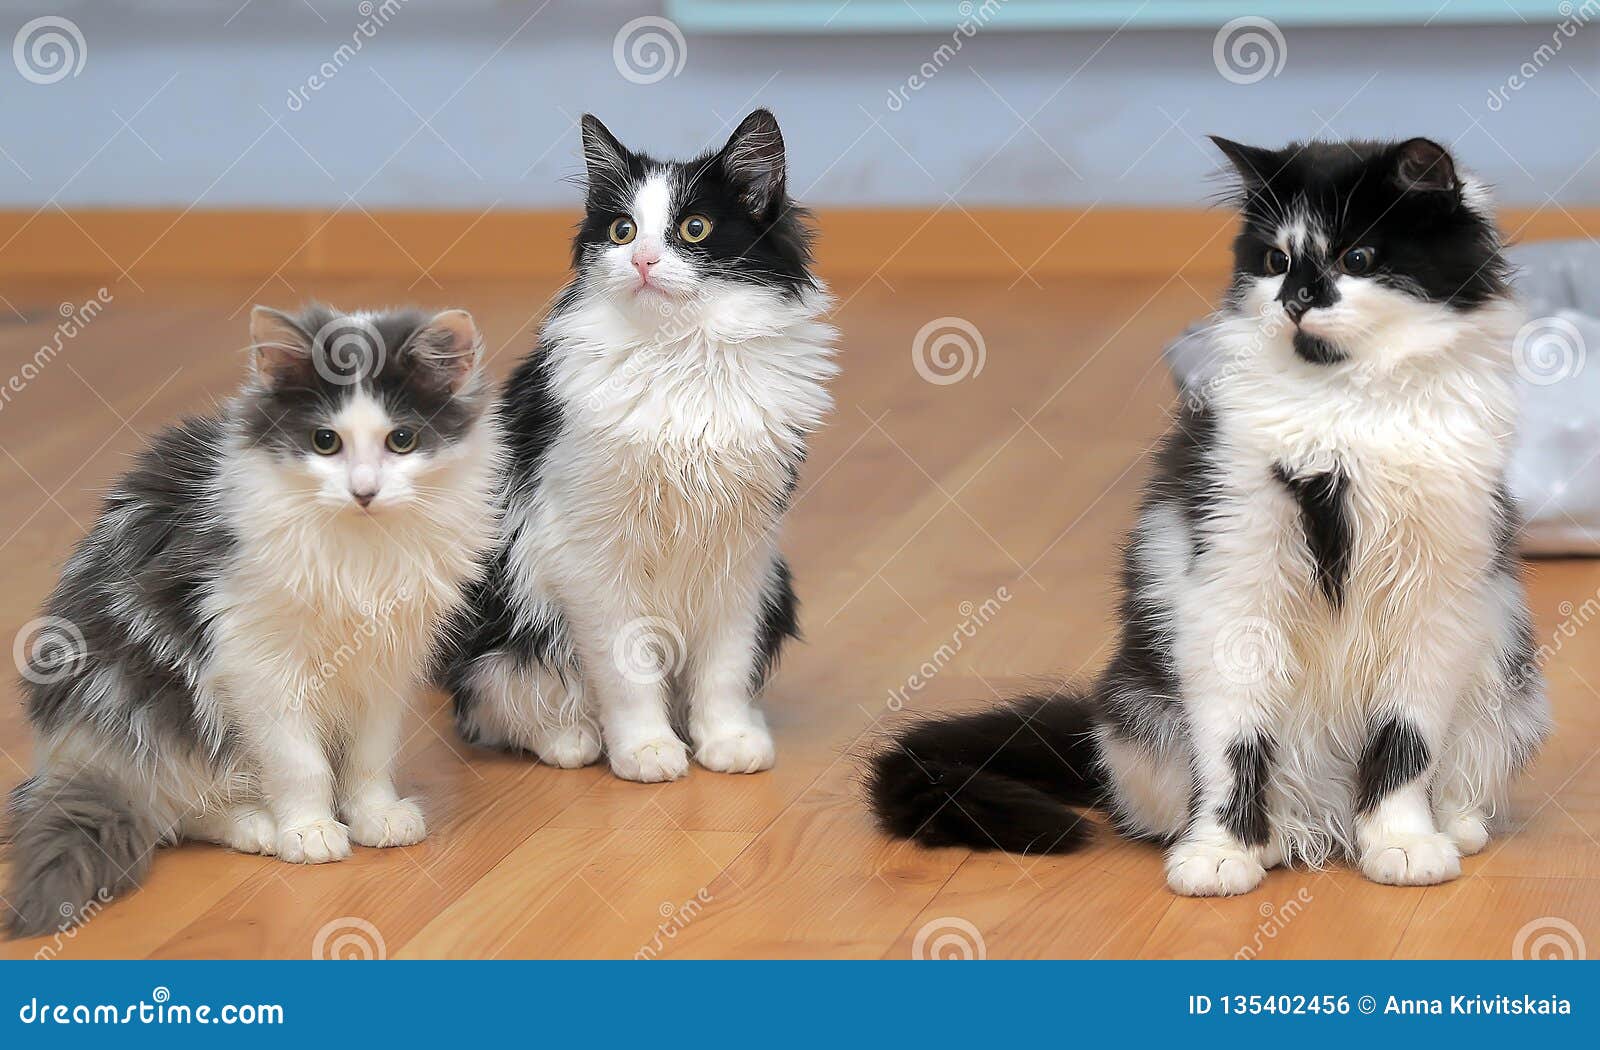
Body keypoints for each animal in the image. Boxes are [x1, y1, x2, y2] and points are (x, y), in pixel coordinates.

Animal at [4, 304, 499, 934]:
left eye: (402, 440)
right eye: (325, 441)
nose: (363, 491)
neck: (359, 552)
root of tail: (62, 762)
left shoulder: (387, 661)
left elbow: (369, 753)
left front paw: (376, 815)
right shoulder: (259, 663)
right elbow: (299, 762)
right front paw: (309, 830)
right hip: (150, 718)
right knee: (174, 810)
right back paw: (257, 825)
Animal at [438, 110, 838, 784]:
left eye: (694, 228)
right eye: (622, 231)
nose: (644, 260)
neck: (679, 356)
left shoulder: (742, 552)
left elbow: (725, 666)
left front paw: (727, 741)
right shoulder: (591, 554)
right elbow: (627, 672)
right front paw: (646, 751)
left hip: (778, 585)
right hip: (503, 615)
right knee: (495, 704)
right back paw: (570, 739)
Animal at [870, 137, 1555, 896]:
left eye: (1358, 258)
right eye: (1276, 261)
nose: (1294, 299)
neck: (1343, 413)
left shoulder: (1436, 598)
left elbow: (1407, 743)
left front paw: (1402, 842)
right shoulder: (1232, 585)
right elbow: (1234, 746)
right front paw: (1221, 854)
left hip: (1501, 673)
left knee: (1458, 774)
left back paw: (1449, 828)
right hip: (1143, 706)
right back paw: (1274, 838)